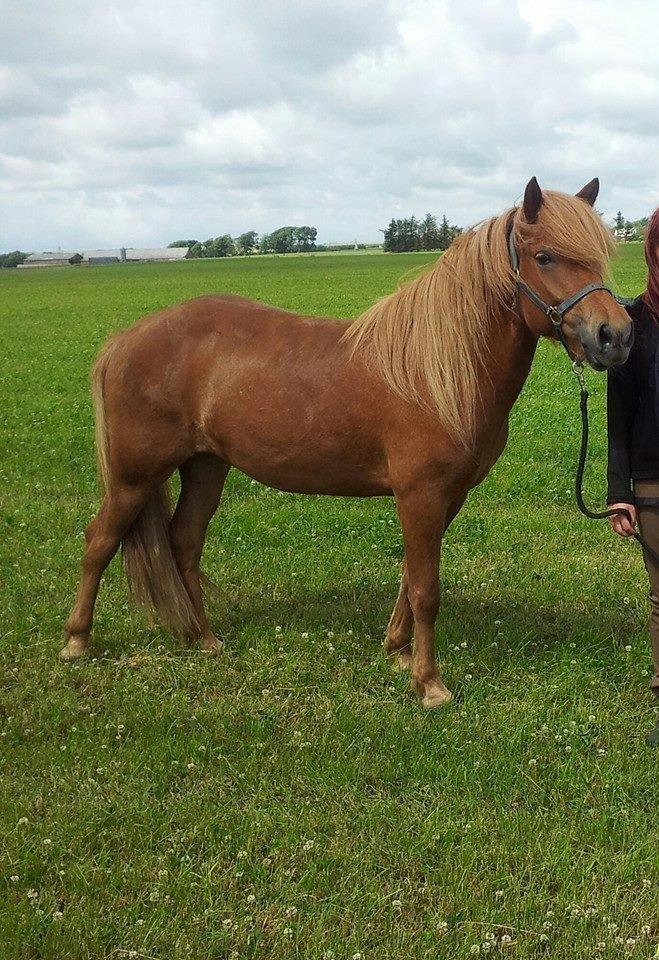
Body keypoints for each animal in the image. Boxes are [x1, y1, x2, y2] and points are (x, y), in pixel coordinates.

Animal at [63, 178, 636, 704]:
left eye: (597, 255)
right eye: (545, 256)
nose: (616, 335)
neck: (435, 370)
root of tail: (125, 340)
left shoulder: (447, 497)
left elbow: (410, 575)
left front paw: (397, 649)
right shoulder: (420, 495)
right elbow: (427, 588)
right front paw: (429, 683)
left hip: (206, 467)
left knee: (183, 543)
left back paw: (203, 639)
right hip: (134, 477)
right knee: (99, 541)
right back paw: (76, 642)